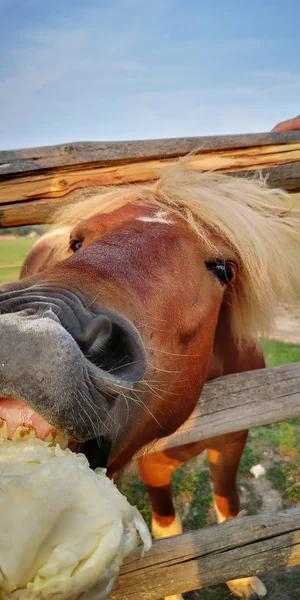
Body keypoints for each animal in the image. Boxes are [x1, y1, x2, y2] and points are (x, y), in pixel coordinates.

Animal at [0, 165, 300, 600]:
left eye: (223, 269)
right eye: (77, 241)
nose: (25, 332)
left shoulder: (231, 445)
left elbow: (229, 507)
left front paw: (244, 579)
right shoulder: (153, 466)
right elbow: (168, 529)